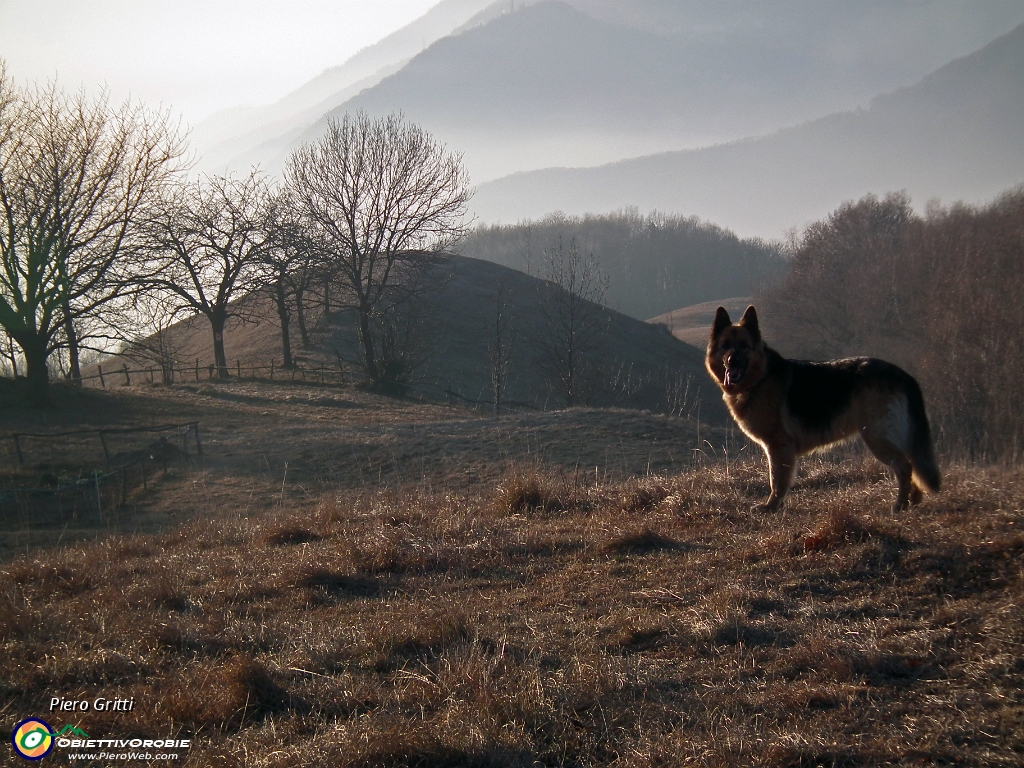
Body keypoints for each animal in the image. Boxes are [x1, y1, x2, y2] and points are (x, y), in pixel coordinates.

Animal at [708, 305, 937, 512]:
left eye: (744, 346)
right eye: (725, 345)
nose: (732, 361)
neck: (760, 377)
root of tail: (903, 375)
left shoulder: (779, 446)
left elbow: (777, 480)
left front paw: (771, 506)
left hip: (876, 436)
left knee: (905, 465)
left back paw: (899, 505)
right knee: (912, 462)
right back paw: (914, 500)